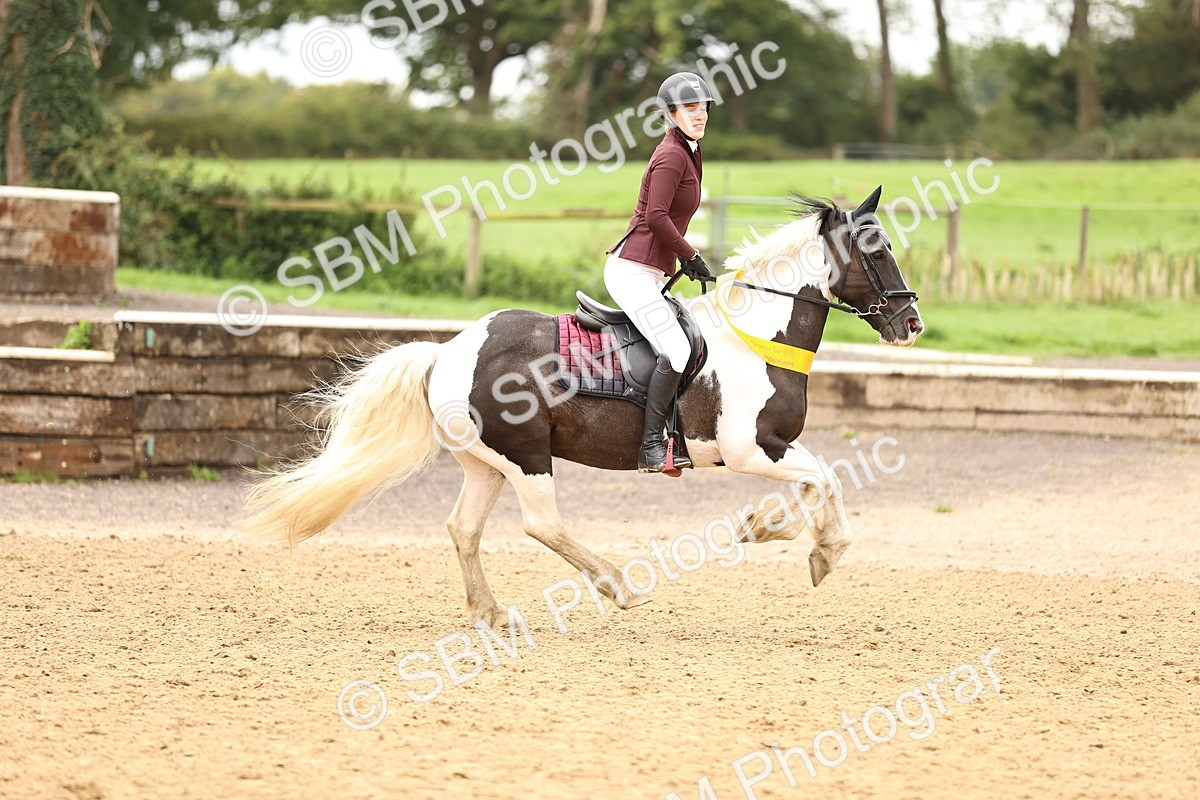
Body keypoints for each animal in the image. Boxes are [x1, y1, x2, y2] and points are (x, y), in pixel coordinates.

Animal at [242, 186, 924, 628]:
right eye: (878, 250)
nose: (912, 323)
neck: (756, 337)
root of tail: (449, 352)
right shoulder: (750, 449)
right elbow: (821, 480)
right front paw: (792, 539)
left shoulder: (775, 445)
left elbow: (823, 482)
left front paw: (796, 539)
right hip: (526, 456)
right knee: (542, 525)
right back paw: (618, 587)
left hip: (487, 463)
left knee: (464, 529)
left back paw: (492, 614)